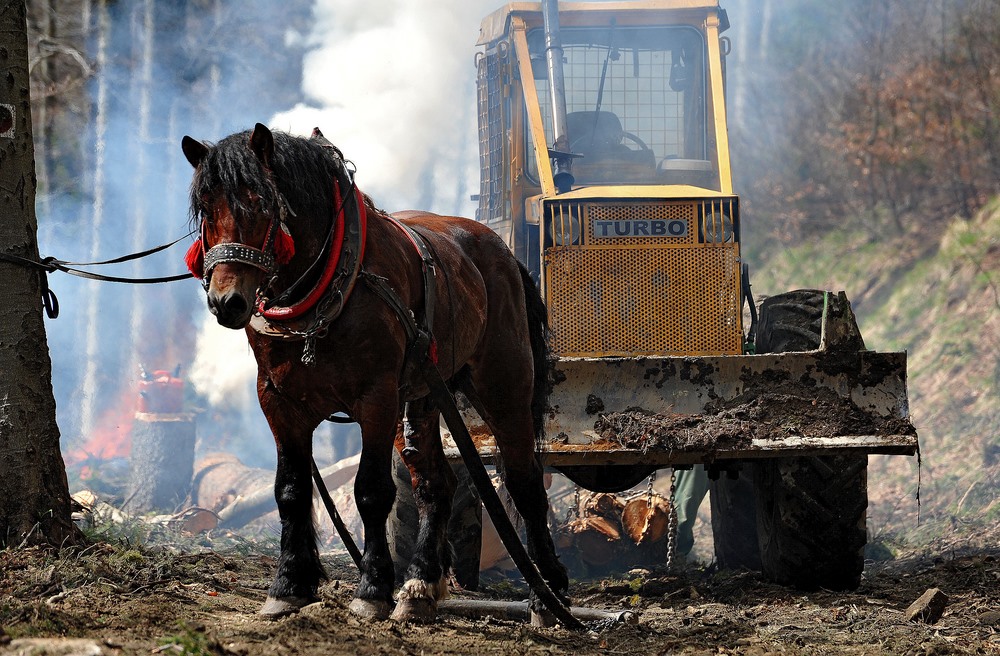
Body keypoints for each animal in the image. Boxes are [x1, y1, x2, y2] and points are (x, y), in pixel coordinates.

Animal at [183, 125, 568, 624]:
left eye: (262, 204)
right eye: (207, 210)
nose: (226, 302)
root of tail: (500, 252)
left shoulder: (376, 399)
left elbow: (370, 491)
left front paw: (372, 589)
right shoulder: (278, 401)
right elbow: (290, 491)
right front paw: (289, 584)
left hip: (503, 386)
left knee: (525, 481)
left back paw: (548, 593)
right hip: (422, 397)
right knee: (435, 485)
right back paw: (421, 586)